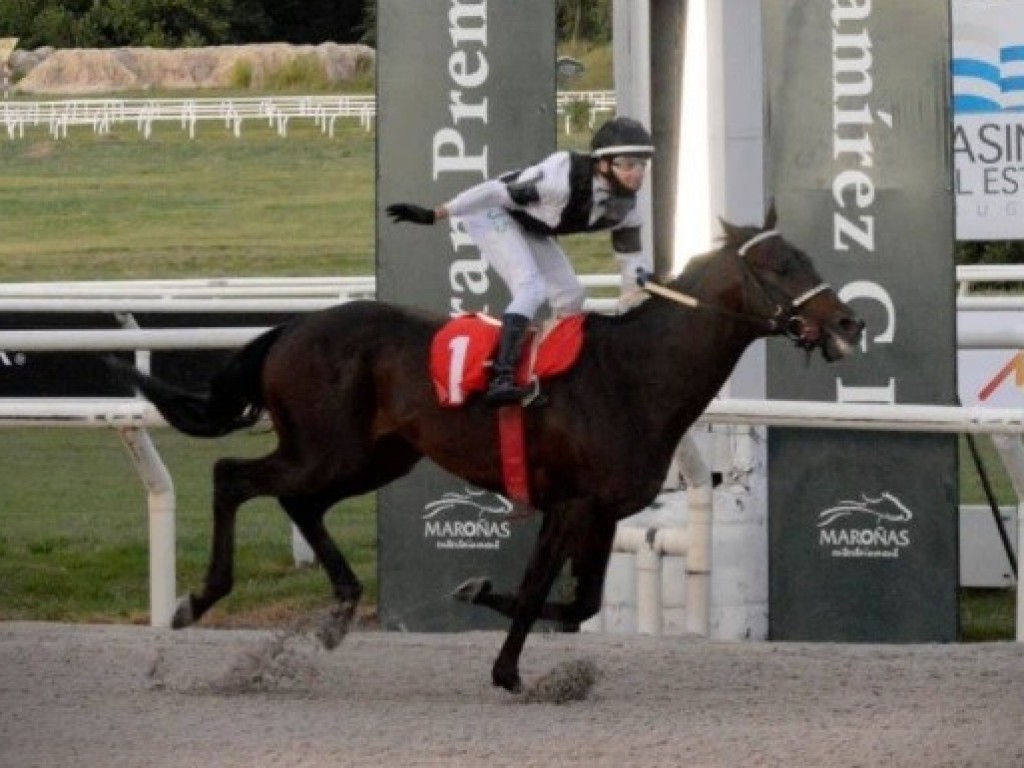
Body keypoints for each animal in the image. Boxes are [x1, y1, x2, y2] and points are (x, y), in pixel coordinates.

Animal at [110, 207, 864, 696]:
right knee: (233, 476)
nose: (849, 321)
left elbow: (579, 602)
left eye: (807, 257)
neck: (635, 374)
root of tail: (293, 328)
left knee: (299, 501)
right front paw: (508, 669)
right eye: (780, 264)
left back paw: (342, 608)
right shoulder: (574, 503)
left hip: (372, 456)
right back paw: (198, 600)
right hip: (329, 449)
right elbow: (539, 592)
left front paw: (488, 609)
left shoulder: (599, 511)